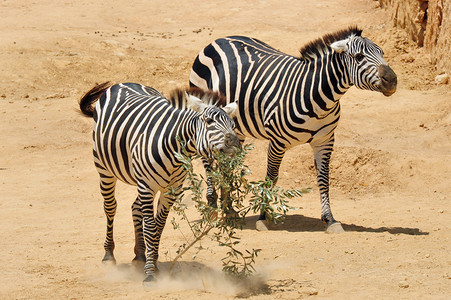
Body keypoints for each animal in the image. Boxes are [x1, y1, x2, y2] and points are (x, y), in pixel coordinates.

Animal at [78, 82, 240, 284]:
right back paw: (109, 254)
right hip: (105, 169)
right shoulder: (147, 187)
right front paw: (150, 273)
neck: (174, 149)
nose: (235, 143)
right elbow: (150, 227)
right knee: (110, 207)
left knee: (135, 207)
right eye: (209, 121)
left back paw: (139, 254)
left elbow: (158, 226)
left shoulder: (171, 190)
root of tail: (124, 83)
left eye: (233, 125)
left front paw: (152, 262)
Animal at [189, 26, 398, 232]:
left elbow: (324, 179)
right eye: (359, 56)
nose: (392, 80)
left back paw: (229, 208)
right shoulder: (277, 142)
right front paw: (264, 217)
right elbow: (271, 177)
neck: (317, 98)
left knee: (226, 163)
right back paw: (212, 207)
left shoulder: (325, 141)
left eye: (382, 52)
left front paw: (329, 219)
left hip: (236, 129)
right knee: (208, 161)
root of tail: (220, 39)